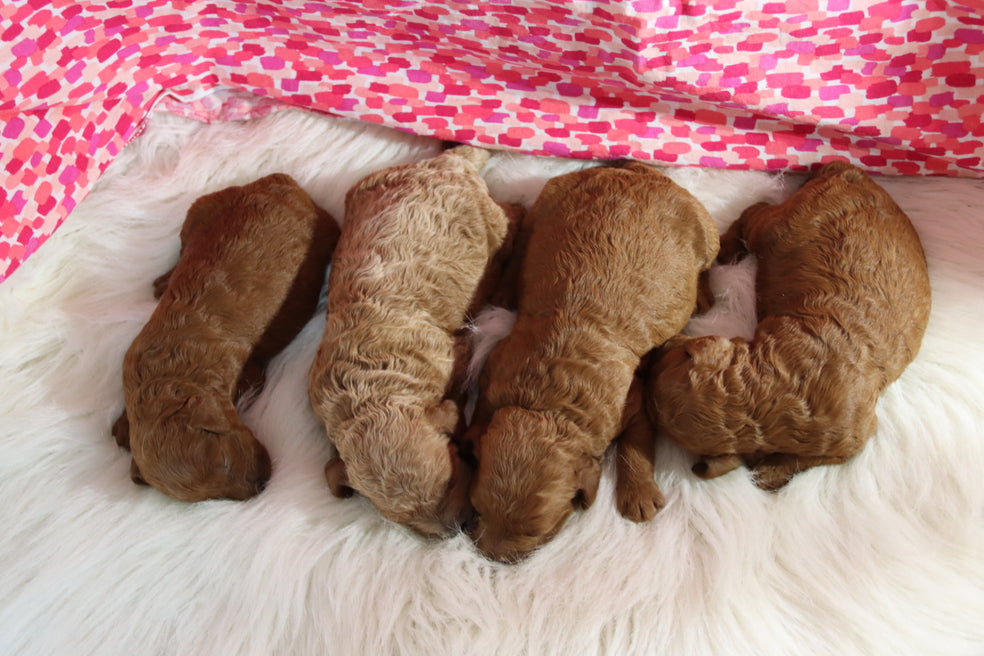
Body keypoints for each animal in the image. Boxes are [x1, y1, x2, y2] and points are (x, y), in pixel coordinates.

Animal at [113, 174, 338, 502]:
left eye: (224, 461)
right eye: (209, 498)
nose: (260, 487)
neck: (168, 371)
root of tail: (280, 182)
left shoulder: (247, 372)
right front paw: (122, 427)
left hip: (323, 226)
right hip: (201, 211)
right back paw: (163, 281)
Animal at [306, 145, 508, 540]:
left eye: (450, 481)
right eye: (405, 521)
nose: (454, 532)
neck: (370, 391)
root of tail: (444, 164)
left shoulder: (452, 353)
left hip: (487, 216)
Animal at [466, 161, 720, 560]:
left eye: (537, 531)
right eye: (477, 508)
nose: (489, 558)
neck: (547, 403)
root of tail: (639, 173)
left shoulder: (635, 400)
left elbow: (634, 446)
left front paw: (639, 497)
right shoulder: (497, 363)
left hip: (706, 229)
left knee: (708, 263)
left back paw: (705, 296)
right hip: (548, 200)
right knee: (522, 240)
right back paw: (506, 290)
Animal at [648, 161, 936, 492]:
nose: (659, 350)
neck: (766, 396)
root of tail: (847, 171)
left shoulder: (853, 439)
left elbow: (808, 459)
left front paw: (769, 473)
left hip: (777, 226)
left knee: (754, 211)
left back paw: (729, 251)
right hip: (778, 226)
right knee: (755, 212)